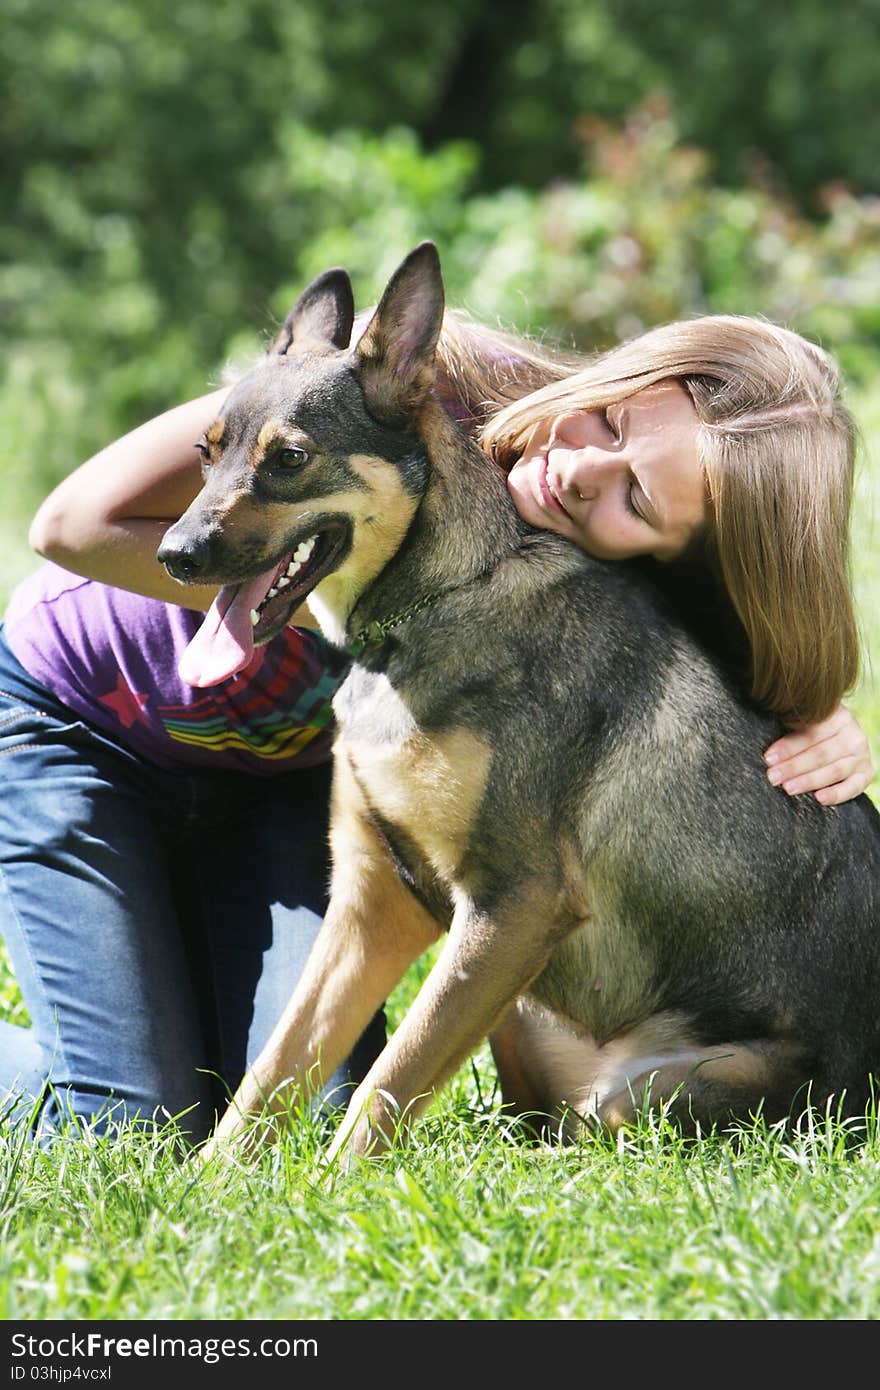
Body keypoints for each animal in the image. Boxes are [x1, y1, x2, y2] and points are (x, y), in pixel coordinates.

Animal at [156, 241, 878, 1162]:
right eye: (206, 452)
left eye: (288, 458)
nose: (176, 554)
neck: (442, 600)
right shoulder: (372, 904)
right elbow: (275, 1071)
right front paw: (213, 1182)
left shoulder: (514, 904)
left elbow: (384, 1085)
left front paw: (328, 1185)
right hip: (531, 1013)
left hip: (637, 1085)